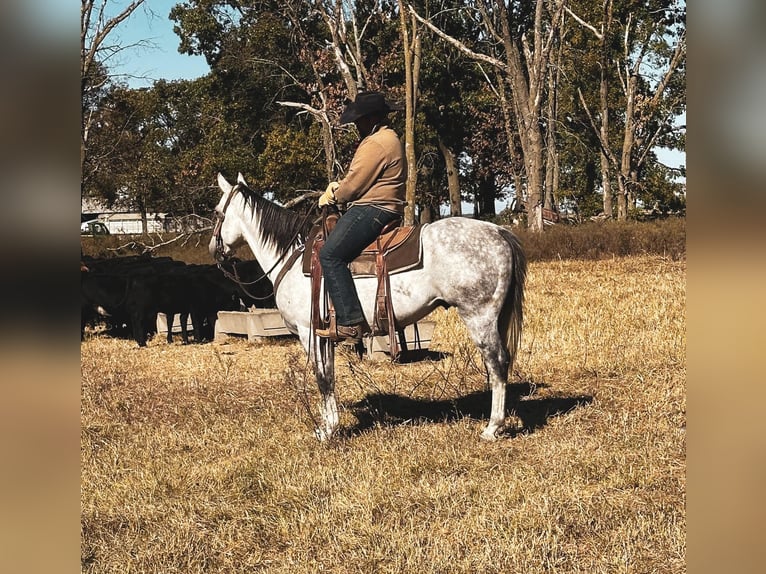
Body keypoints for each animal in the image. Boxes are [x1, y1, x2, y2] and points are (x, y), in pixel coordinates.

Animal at [208, 173, 528, 444]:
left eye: (216, 211)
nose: (214, 250)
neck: (292, 257)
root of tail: (499, 232)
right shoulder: (324, 335)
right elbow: (329, 375)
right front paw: (329, 424)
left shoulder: (308, 331)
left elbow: (322, 378)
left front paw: (327, 431)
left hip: (479, 316)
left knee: (497, 362)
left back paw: (491, 428)